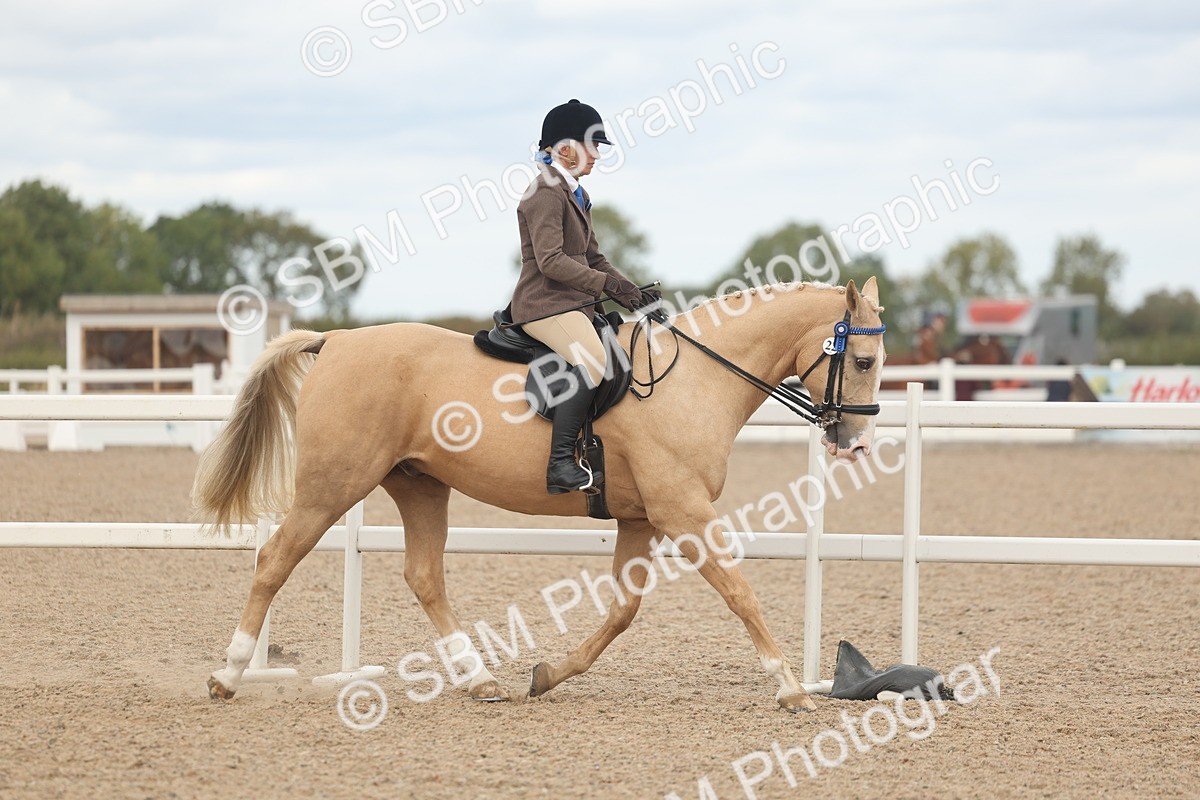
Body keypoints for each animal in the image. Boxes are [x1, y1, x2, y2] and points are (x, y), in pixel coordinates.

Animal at [195, 277, 887, 712]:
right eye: (862, 362)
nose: (854, 441)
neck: (694, 379)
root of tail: (336, 339)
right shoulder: (682, 512)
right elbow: (741, 593)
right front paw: (788, 687)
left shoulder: (642, 520)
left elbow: (622, 612)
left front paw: (548, 675)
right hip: (332, 485)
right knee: (274, 561)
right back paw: (227, 675)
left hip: (420, 486)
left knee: (424, 577)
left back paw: (480, 681)